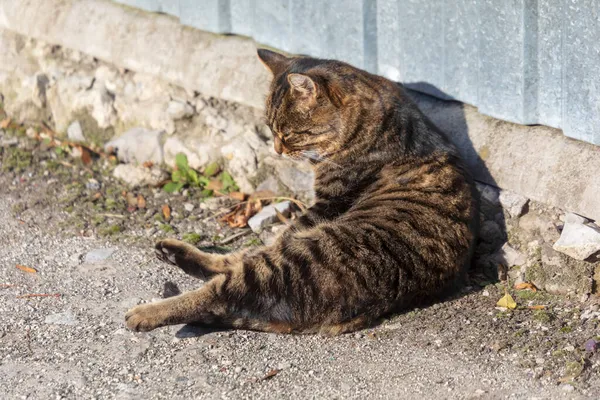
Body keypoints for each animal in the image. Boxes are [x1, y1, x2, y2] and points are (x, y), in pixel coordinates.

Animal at [125, 47, 478, 334]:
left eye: (288, 133)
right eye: (270, 129)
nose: (277, 149)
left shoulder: (325, 205)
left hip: (294, 256)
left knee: (220, 289)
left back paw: (144, 313)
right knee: (237, 264)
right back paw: (171, 251)